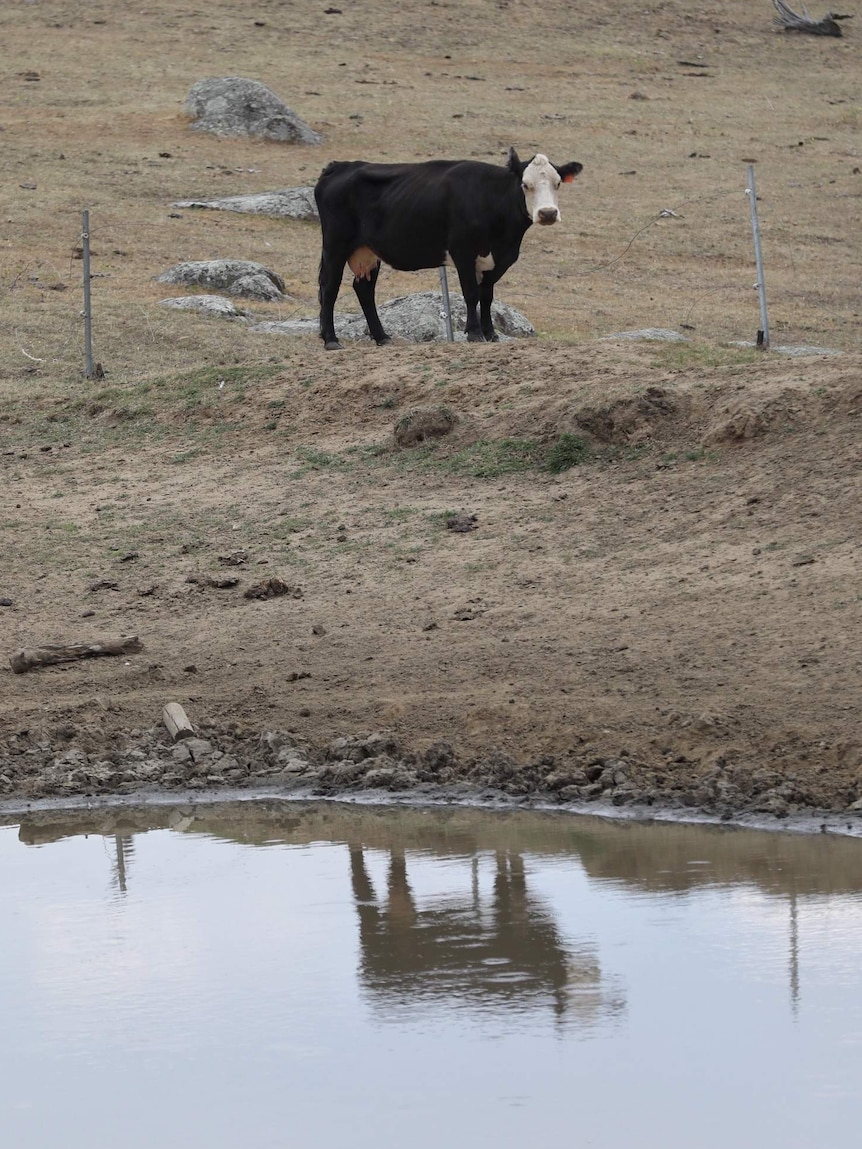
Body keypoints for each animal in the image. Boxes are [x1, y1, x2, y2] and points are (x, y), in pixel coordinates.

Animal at [314, 150, 583, 351]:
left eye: (558, 183)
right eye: (525, 185)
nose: (547, 213)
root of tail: (340, 166)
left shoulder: (498, 259)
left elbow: (487, 296)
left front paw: (491, 334)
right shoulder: (462, 251)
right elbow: (471, 294)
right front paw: (474, 334)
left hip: (368, 251)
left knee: (364, 289)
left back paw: (383, 337)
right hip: (335, 245)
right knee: (329, 288)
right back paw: (331, 340)